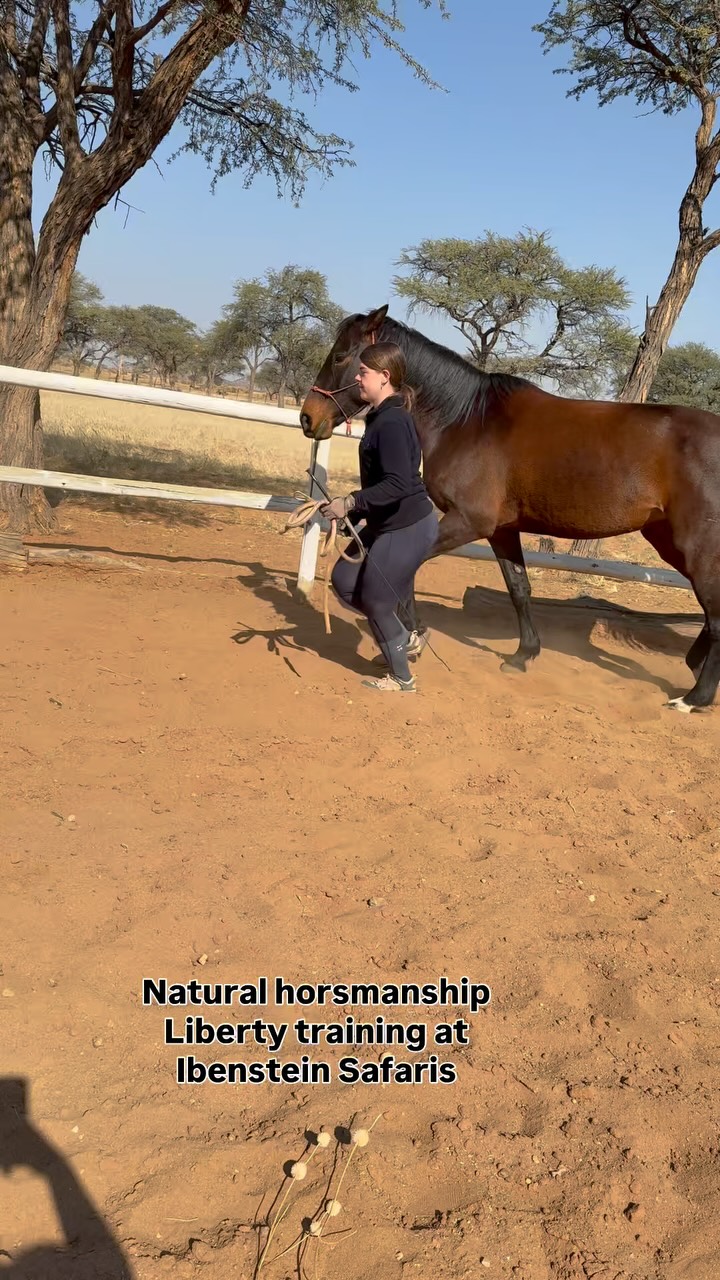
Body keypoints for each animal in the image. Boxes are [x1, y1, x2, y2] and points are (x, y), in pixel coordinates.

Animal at [299, 305, 720, 713]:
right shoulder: (502, 530)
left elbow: (405, 573)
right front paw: (523, 655)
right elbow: (519, 588)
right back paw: (694, 667)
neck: (466, 420)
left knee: (716, 615)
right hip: (668, 540)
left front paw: (413, 639)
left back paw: (694, 698)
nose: (308, 417)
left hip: (696, 547)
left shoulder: (467, 522)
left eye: (340, 356)